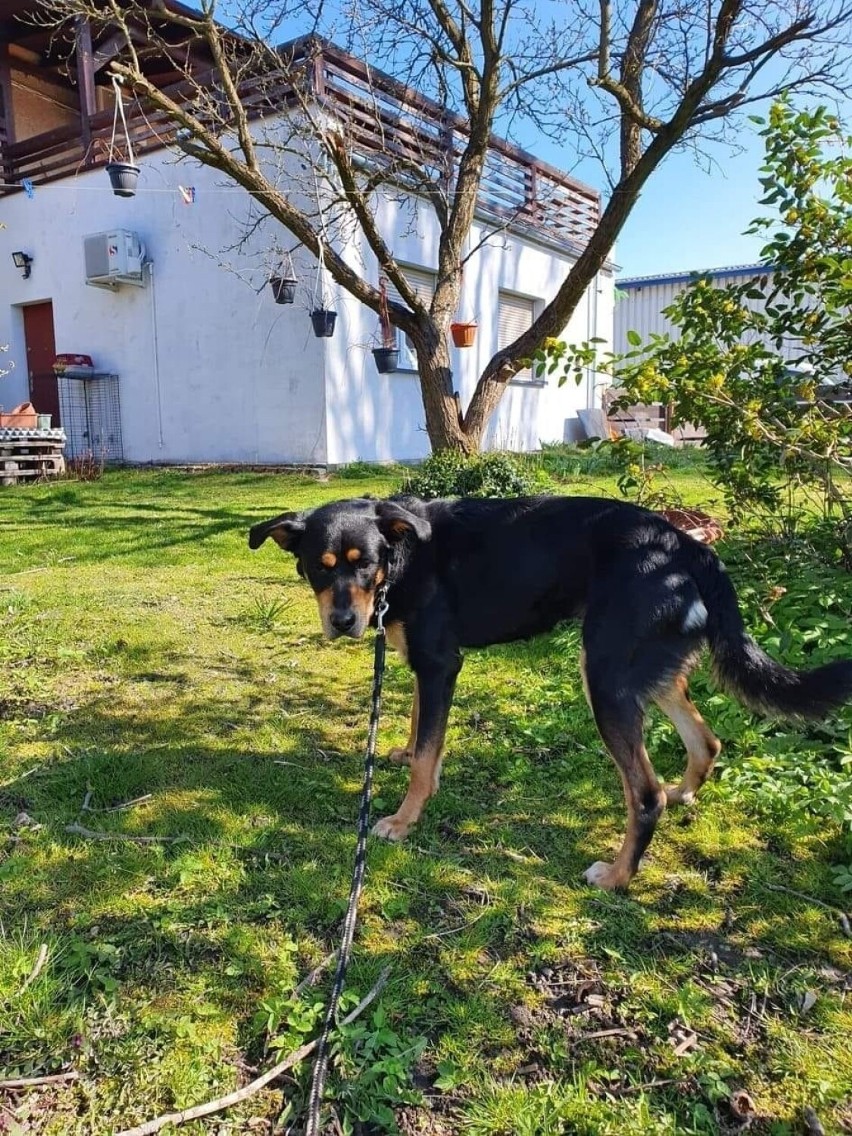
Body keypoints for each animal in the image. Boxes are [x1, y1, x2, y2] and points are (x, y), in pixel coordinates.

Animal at [248, 493, 852, 890]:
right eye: (318, 568)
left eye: (365, 564)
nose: (344, 623)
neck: (405, 556)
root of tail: (684, 544)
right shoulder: (427, 665)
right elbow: (423, 733)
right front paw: (408, 760)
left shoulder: (441, 662)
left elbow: (425, 754)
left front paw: (403, 818)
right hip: (646, 669)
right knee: (706, 742)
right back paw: (683, 793)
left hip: (605, 678)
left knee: (645, 794)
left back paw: (617, 876)